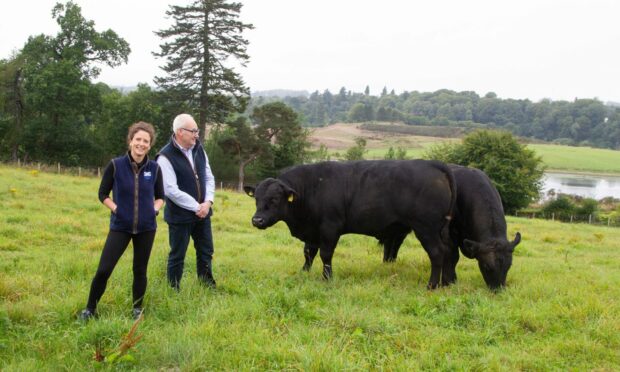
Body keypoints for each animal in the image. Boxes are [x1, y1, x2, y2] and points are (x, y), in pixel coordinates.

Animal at [245, 158, 458, 290]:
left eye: (274, 199)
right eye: (256, 198)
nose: (257, 220)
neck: (311, 187)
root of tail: (432, 164)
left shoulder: (330, 228)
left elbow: (325, 254)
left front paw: (327, 278)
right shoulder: (312, 230)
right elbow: (308, 253)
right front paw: (304, 272)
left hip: (426, 228)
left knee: (437, 253)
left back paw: (431, 285)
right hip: (439, 230)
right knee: (448, 252)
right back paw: (446, 283)